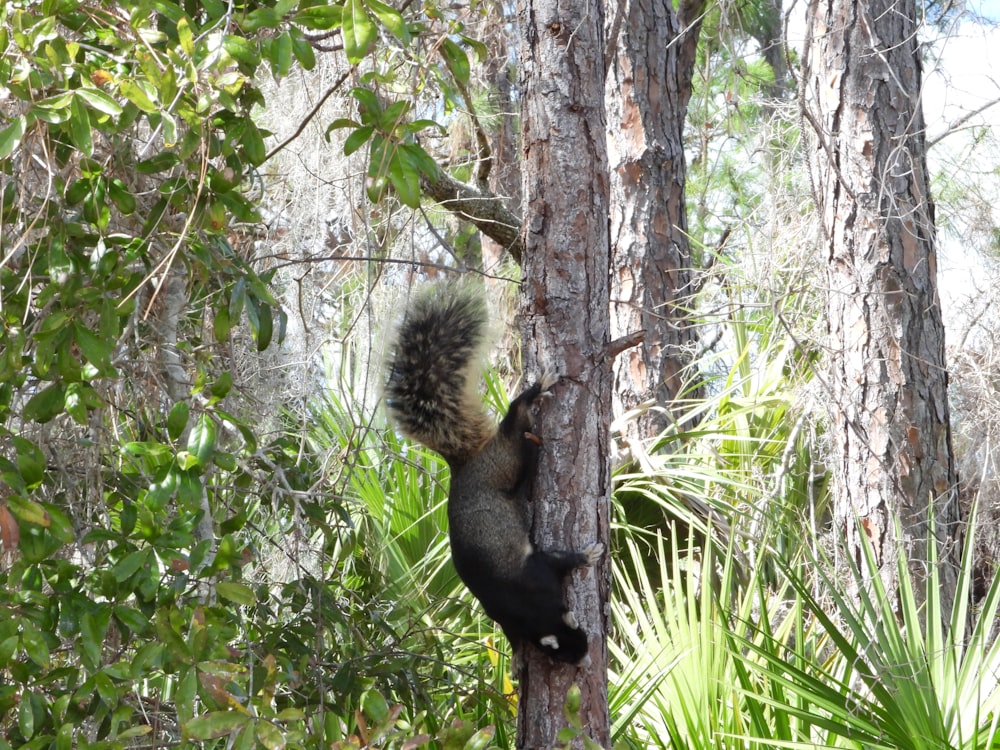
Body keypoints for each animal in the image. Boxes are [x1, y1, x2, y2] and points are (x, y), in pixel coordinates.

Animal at [382, 284, 600, 668]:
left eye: (582, 637)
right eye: (565, 653)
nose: (585, 662)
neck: (527, 605)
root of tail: (465, 463)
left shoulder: (537, 569)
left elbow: (561, 559)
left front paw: (588, 556)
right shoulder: (510, 601)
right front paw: (516, 659)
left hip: (506, 458)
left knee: (516, 417)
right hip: (508, 462)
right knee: (518, 424)